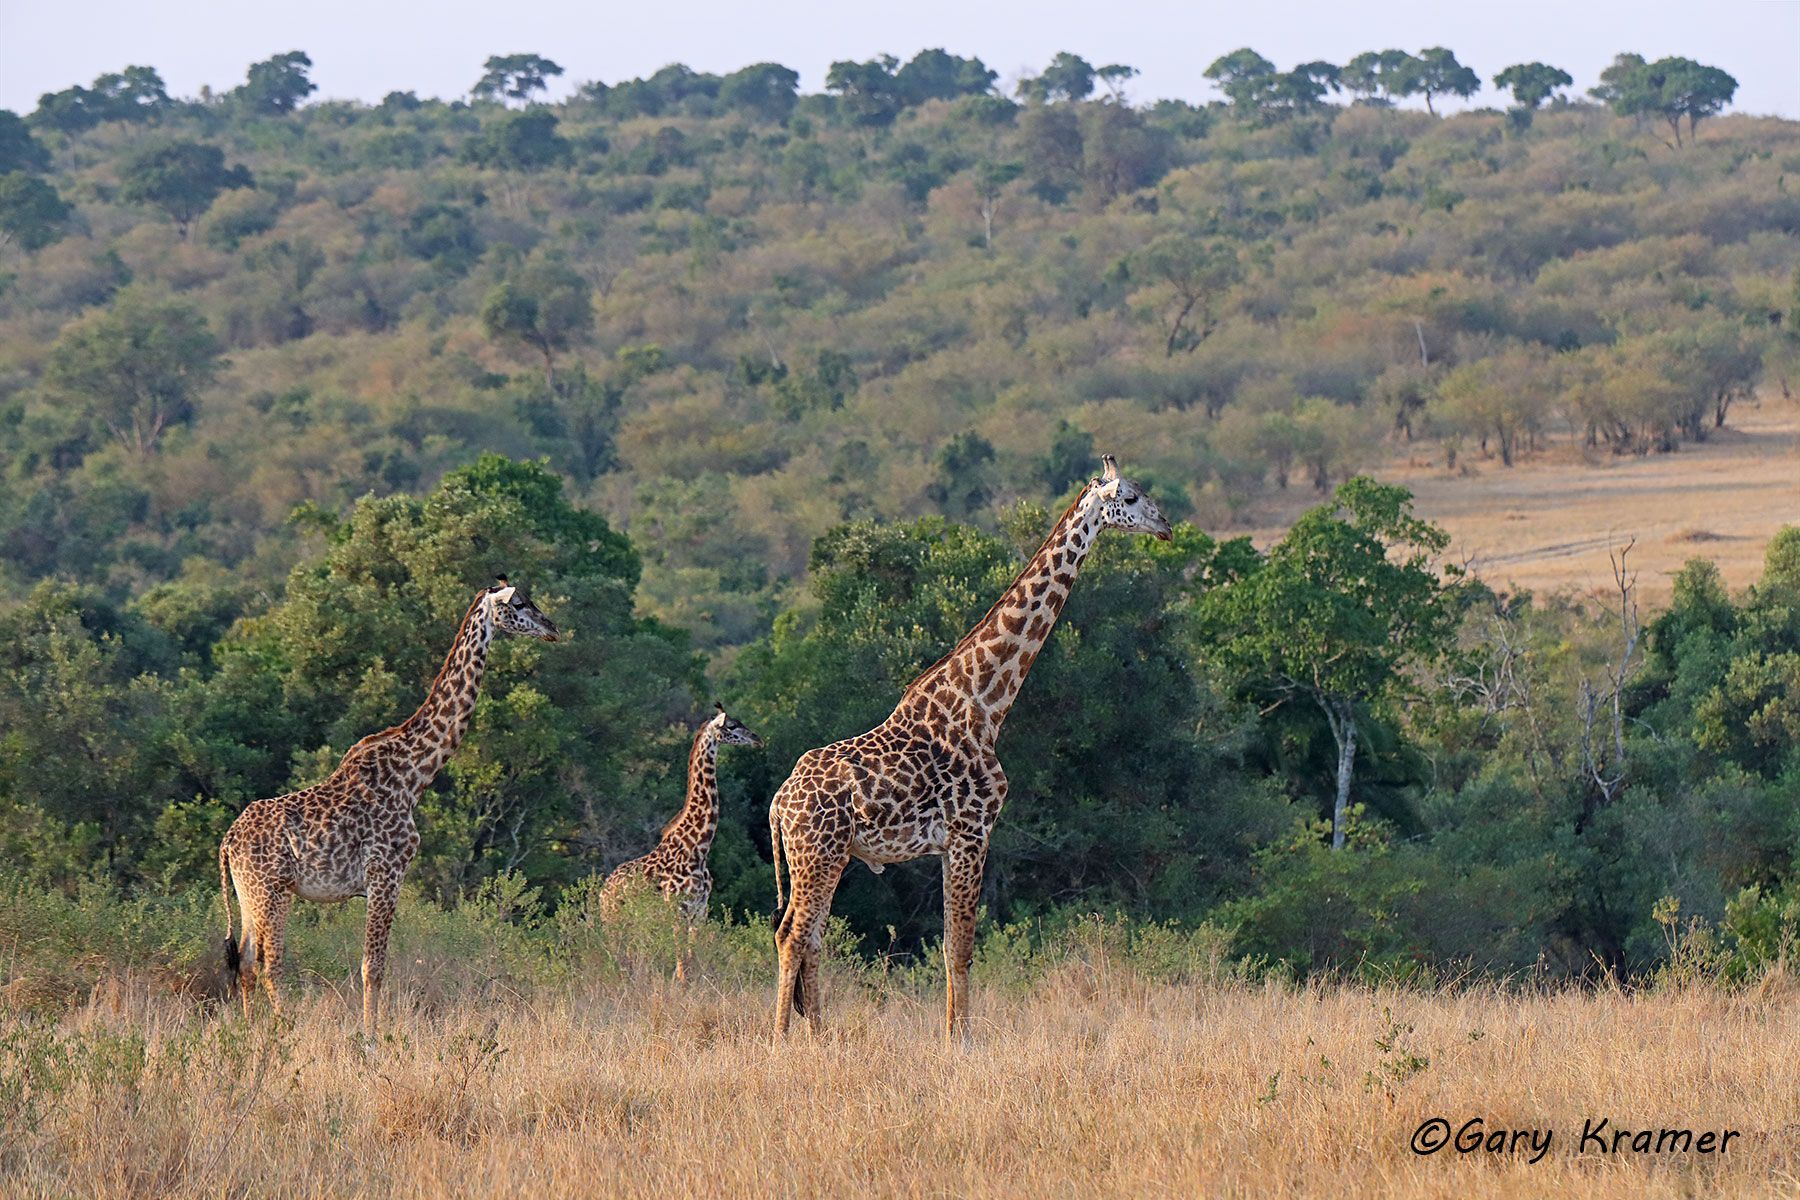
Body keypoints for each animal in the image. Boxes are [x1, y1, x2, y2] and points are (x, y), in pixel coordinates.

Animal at [218, 578, 558, 1040]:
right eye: (519, 604)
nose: (552, 628)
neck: (414, 775)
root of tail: (227, 842)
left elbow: (372, 965)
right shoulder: (386, 873)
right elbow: (372, 967)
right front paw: (371, 1039)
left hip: (248, 895)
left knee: (246, 964)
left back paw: (253, 1033)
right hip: (272, 891)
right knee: (269, 965)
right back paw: (284, 1030)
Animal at [598, 704, 762, 978]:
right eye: (731, 726)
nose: (757, 739)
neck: (698, 847)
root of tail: (603, 891)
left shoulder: (700, 910)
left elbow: (692, 960)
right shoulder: (677, 909)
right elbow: (682, 967)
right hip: (614, 919)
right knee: (616, 955)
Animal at [768, 456, 1171, 1039]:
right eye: (1133, 497)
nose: (1166, 526)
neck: (985, 704)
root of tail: (779, 804)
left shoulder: (952, 841)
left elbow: (951, 945)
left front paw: (956, 1034)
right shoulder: (971, 831)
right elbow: (959, 947)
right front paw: (959, 1041)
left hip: (827, 856)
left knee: (812, 938)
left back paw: (821, 1037)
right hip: (817, 853)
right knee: (792, 935)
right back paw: (782, 1040)